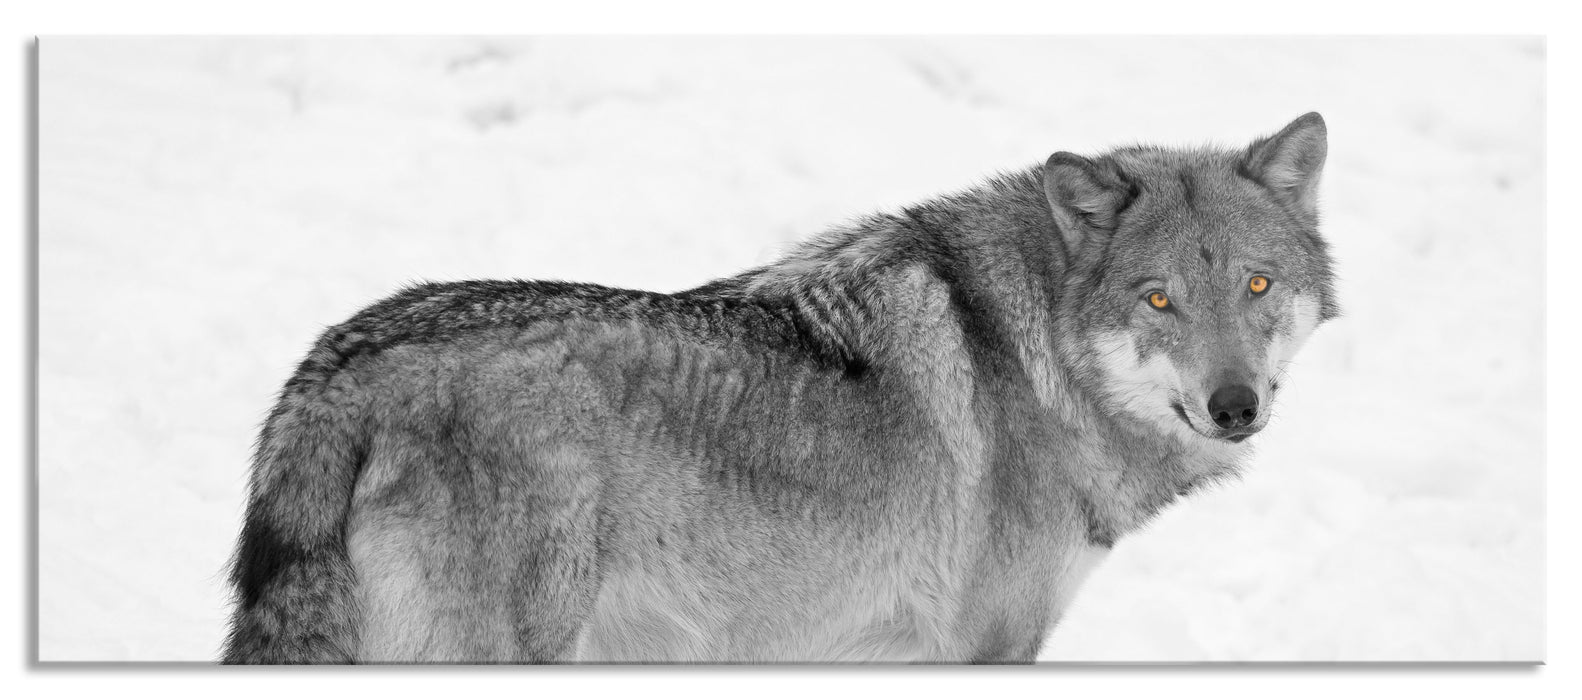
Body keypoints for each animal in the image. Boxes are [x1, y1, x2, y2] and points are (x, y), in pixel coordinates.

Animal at [219, 113, 1335, 661]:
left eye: (1256, 285)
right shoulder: (988, 650)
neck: (1038, 358)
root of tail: (338, 368)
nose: (1236, 406)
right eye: (1158, 300)